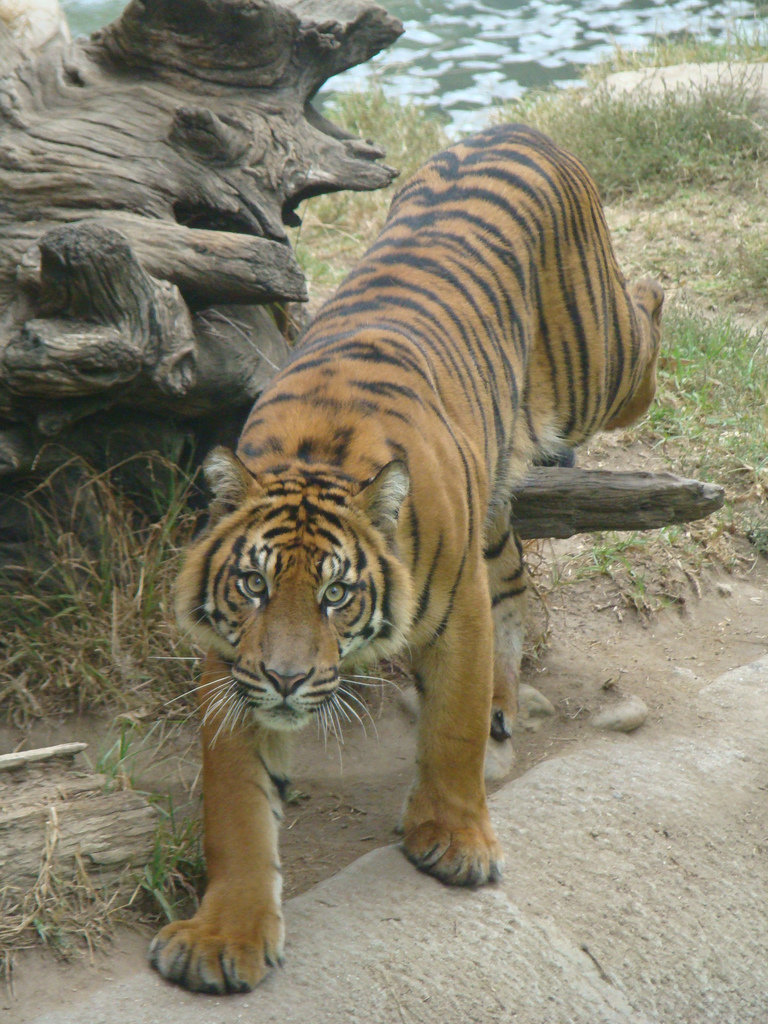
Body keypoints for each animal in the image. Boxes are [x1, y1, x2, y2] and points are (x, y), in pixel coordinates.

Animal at [149, 123, 662, 994]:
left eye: (335, 595)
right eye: (253, 586)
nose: (286, 679)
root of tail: (515, 126)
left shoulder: (454, 616)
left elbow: (450, 730)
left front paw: (454, 841)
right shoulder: (231, 662)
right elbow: (237, 806)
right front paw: (224, 936)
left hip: (603, 366)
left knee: (647, 324)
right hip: (495, 503)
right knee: (514, 582)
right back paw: (503, 701)